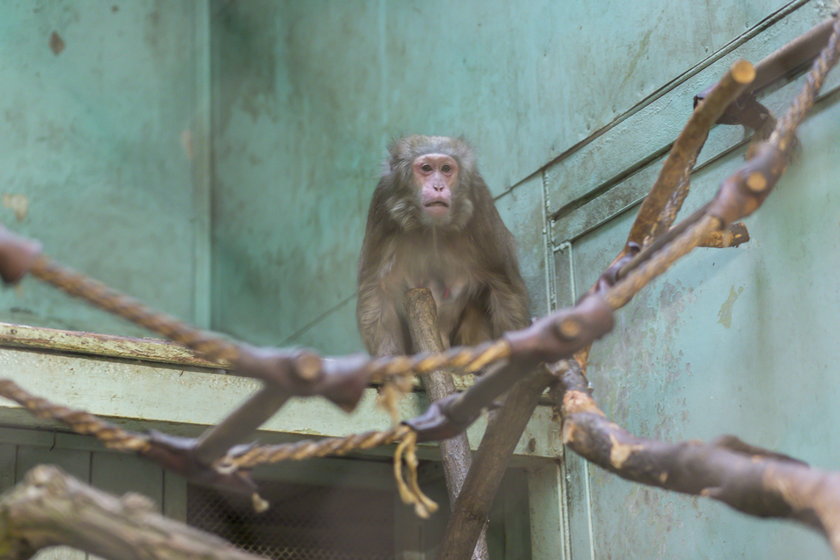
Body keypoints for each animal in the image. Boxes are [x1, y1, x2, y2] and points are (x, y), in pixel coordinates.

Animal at [356, 134, 528, 356]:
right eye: (426, 168)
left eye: (446, 169)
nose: (438, 187)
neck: (433, 228)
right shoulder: (382, 204)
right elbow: (376, 290)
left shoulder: (480, 203)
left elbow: (503, 285)